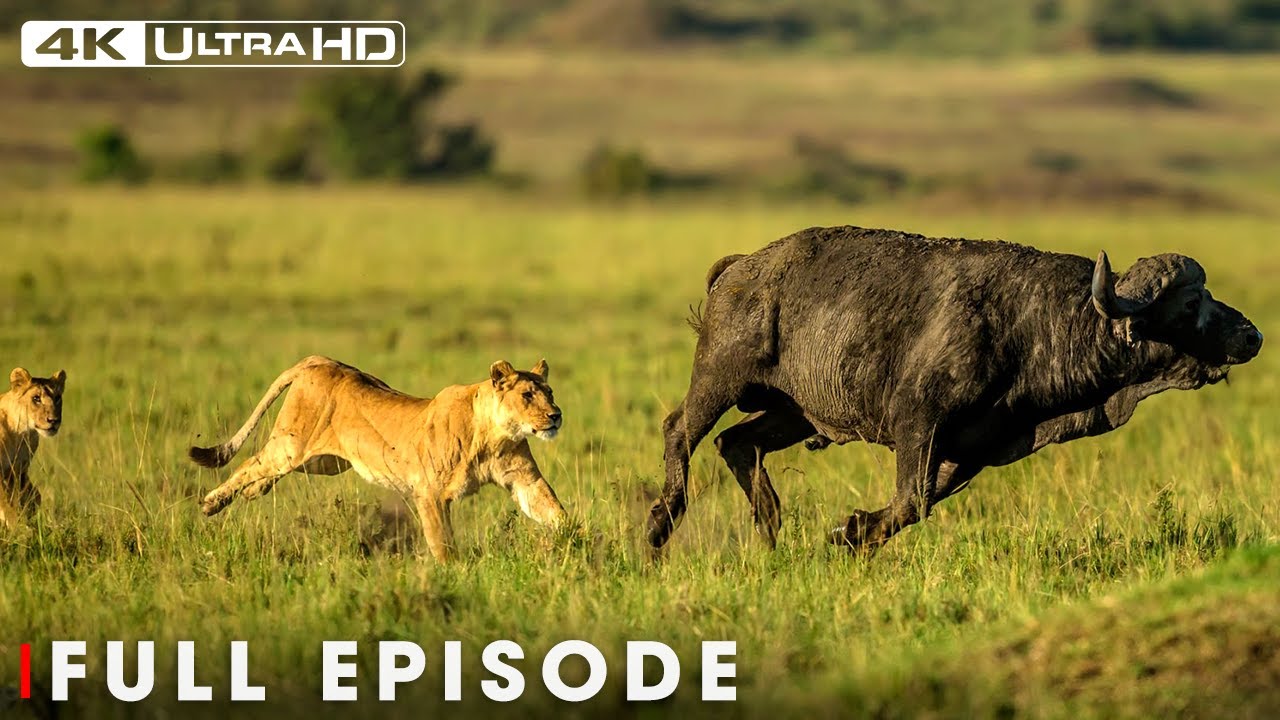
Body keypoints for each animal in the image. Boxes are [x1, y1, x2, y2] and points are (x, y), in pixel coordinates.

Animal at [1, 367, 66, 528]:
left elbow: (31, 497)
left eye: (57, 398)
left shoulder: (19, 471)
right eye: (36, 398)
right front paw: (18, 527)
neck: (21, 432)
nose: (54, 420)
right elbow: (6, 504)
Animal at [189, 356, 566, 561]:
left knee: (263, 473)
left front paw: (573, 542)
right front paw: (455, 572)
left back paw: (253, 492)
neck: (495, 435)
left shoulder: (524, 479)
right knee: (250, 464)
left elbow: (554, 511)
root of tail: (319, 360)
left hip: (325, 463)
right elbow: (442, 542)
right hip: (291, 446)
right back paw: (211, 503)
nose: (556, 415)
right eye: (527, 395)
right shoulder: (429, 492)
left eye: (549, 392)